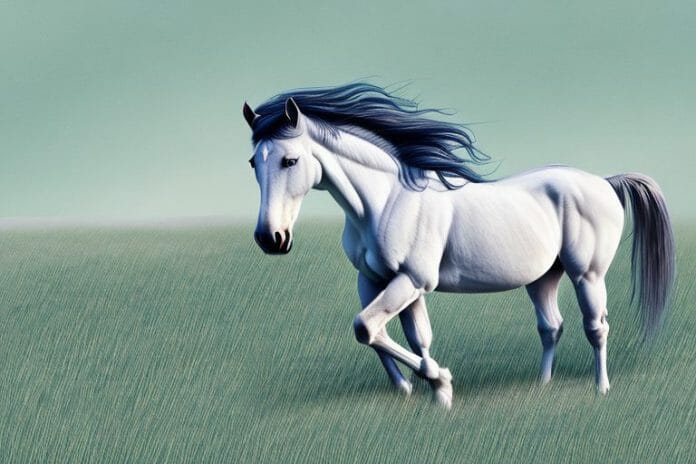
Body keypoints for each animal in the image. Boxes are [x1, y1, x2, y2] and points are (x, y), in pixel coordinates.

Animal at [242, 83, 675, 409]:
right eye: (253, 163)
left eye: (290, 161)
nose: (271, 239)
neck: (385, 201)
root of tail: (604, 181)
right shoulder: (376, 281)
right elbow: (394, 335)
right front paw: (421, 390)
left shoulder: (412, 280)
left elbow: (366, 326)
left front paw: (440, 381)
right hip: (543, 277)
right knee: (551, 326)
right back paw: (542, 386)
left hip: (587, 275)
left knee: (596, 327)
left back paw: (601, 389)